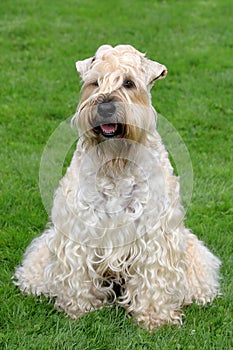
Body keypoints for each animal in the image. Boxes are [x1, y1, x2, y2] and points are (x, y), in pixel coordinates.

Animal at [13, 45, 221, 330]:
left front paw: (155, 318)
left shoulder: (155, 236)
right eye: (94, 82)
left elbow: (154, 278)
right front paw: (80, 310)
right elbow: (77, 274)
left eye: (129, 83)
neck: (116, 163)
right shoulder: (79, 229)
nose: (105, 107)